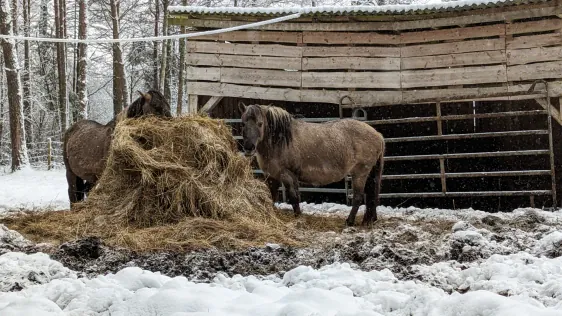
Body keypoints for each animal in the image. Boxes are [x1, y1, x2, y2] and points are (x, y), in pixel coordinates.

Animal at [238, 104, 382, 227]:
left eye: (260, 124)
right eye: (243, 123)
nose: (249, 148)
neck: (280, 141)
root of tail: (378, 135)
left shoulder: (287, 174)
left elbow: (293, 197)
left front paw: (298, 217)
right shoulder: (272, 176)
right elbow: (273, 196)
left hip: (360, 173)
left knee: (358, 197)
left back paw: (350, 221)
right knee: (371, 194)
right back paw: (368, 220)